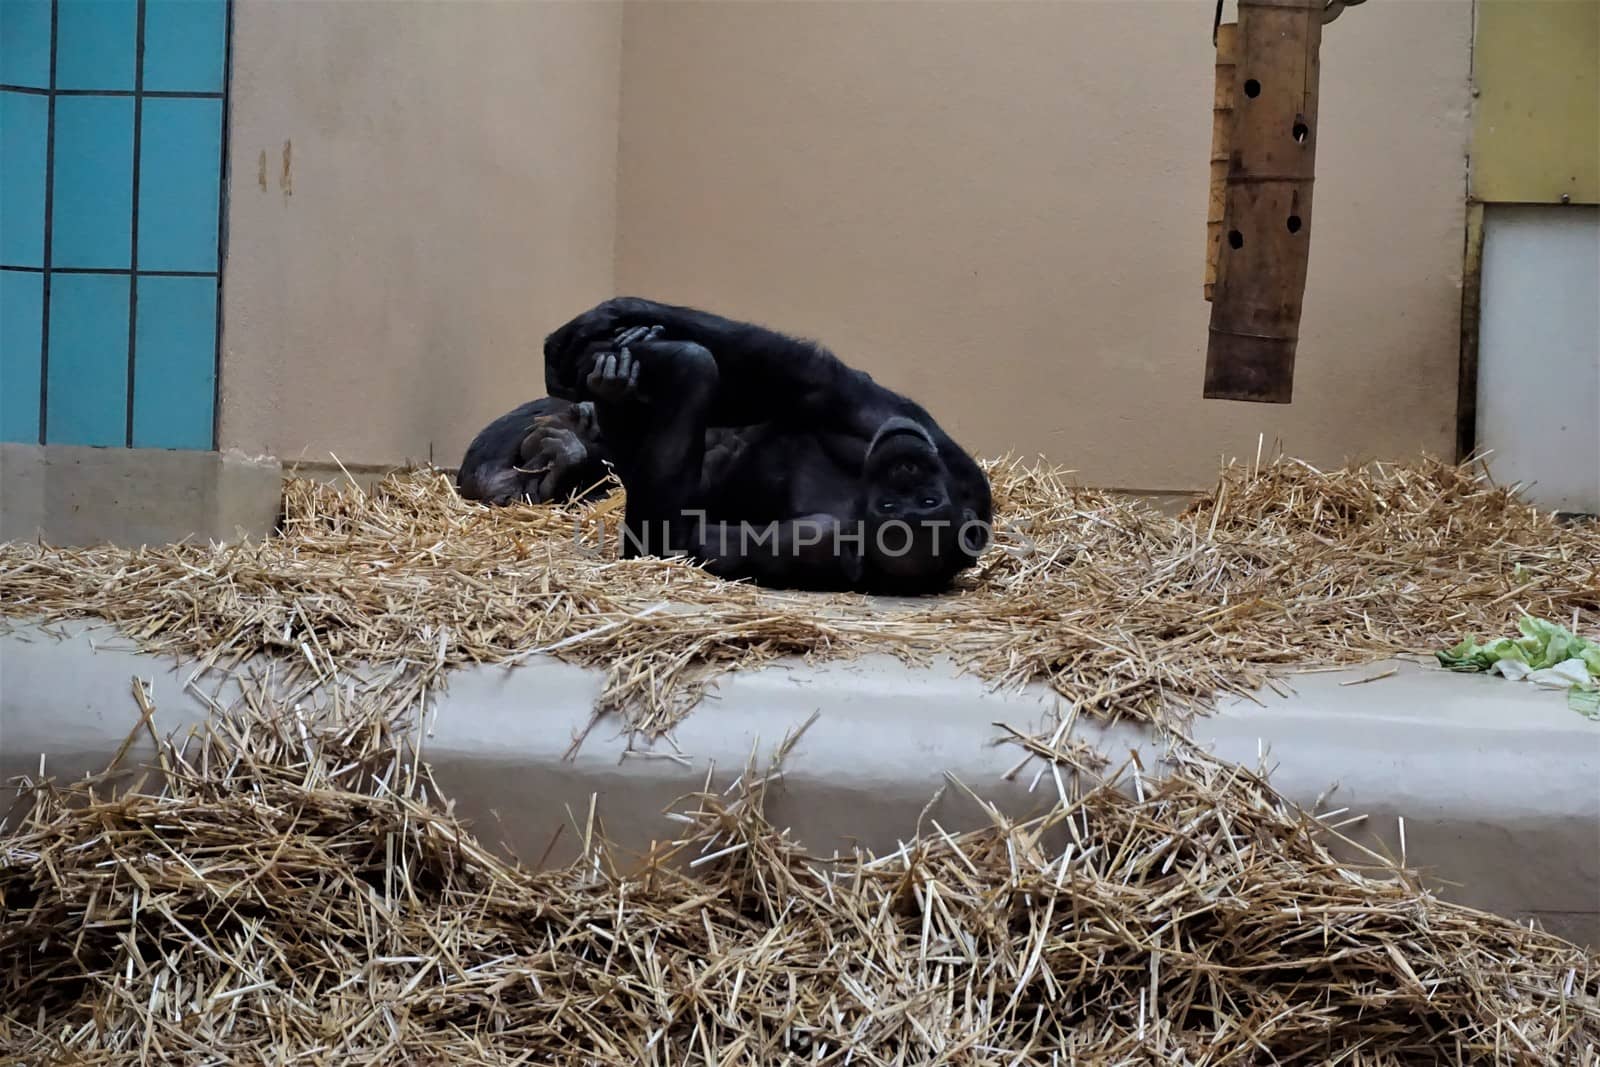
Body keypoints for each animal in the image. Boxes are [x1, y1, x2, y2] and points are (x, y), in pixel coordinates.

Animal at [457, 300, 992, 598]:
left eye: (923, 505)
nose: (908, 469)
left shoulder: (823, 541)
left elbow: (669, 542)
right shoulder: (949, 456)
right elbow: (814, 380)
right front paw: (610, 317)